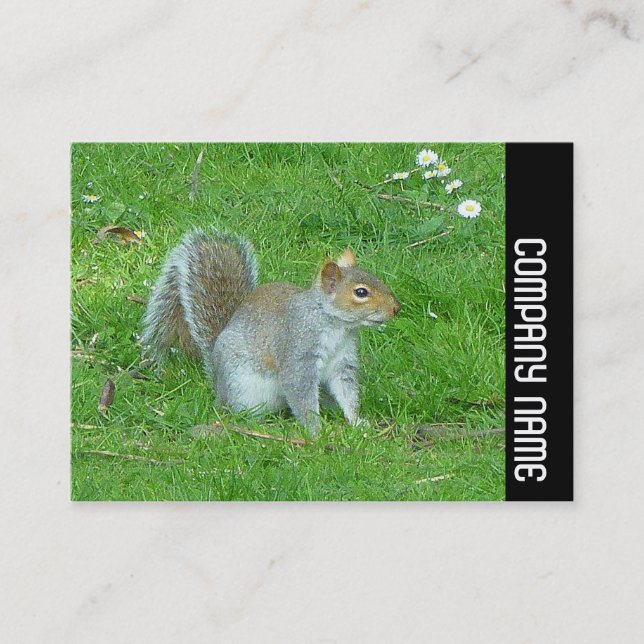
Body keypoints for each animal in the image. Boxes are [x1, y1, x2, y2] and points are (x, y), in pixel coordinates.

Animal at [141, 229, 401, 433]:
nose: (396, 308)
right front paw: (316, 431)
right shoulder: (298, 350)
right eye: (361, 292)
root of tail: (217, 384)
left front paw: (357, 422)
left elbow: (347, 391)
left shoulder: (342, 362)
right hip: (242, 388)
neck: (336, 325)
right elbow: (301, 392)